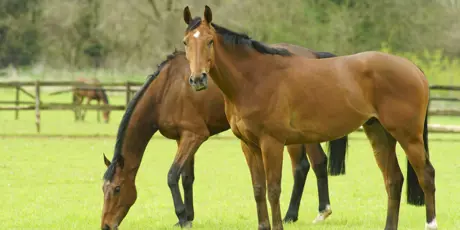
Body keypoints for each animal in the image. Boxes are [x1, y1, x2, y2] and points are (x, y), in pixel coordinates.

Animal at [99, 47, 346, 229]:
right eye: (103, 189)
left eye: (118, 189)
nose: (106, 225)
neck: (166, 90)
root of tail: (313, 55)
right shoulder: (183, 138)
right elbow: (186, 177)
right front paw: (188, 216)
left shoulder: (194, 136)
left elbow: (172, 175)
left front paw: (182, 217)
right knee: (307, 166)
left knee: (311, 164)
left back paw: (310, 212)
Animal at [181, 5, 436, 230]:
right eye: (186, 42)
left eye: (209, 41)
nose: (197, 79)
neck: (254, 78)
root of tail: (413, 68)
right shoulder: (249, 145)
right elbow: (258, 189)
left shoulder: (272, 143)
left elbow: (273, 189)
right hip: (379, 134)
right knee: (393, 180)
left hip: (409, 137)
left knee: (426, 176)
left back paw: (430, 223)